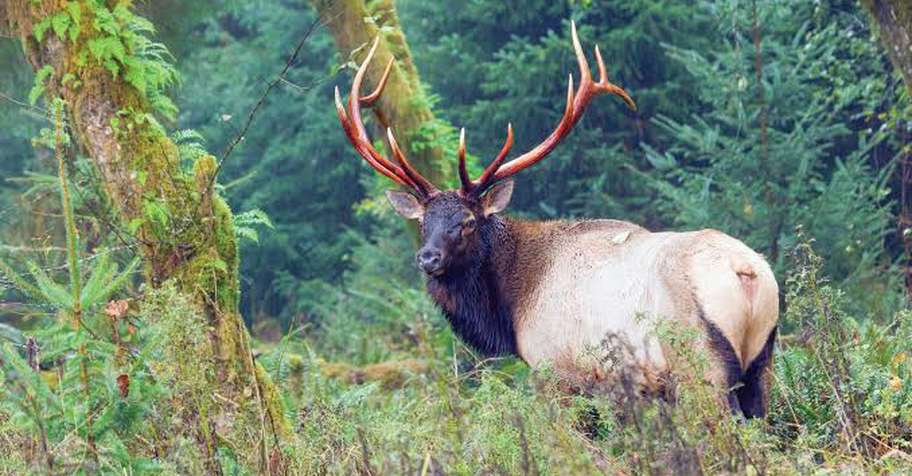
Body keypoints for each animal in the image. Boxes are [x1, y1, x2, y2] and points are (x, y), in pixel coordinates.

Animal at [332, 23, 779, 418]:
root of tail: (747, 272)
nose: (428, 258)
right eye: (424, 221)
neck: (511, 309)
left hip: (700, 363)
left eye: (468, 221)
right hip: (763, 362)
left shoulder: (557, 372)